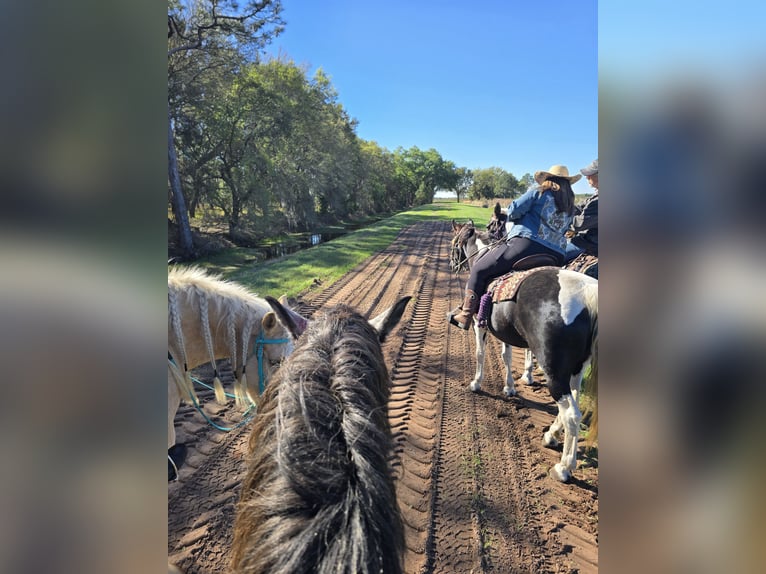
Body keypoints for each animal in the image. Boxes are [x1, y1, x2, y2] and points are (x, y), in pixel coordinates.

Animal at [449, 221, 598, 482]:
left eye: (454, 243)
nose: (452, 264)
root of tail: (587, 296)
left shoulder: (480, 324)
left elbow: (480, 354)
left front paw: (476, 383)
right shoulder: (504, 331)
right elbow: (506, 356)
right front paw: (509, 387)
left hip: (554, 370)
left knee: (572, 414)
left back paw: (564, 467)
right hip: (576, 368)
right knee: (573, 402)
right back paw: (551, 436)